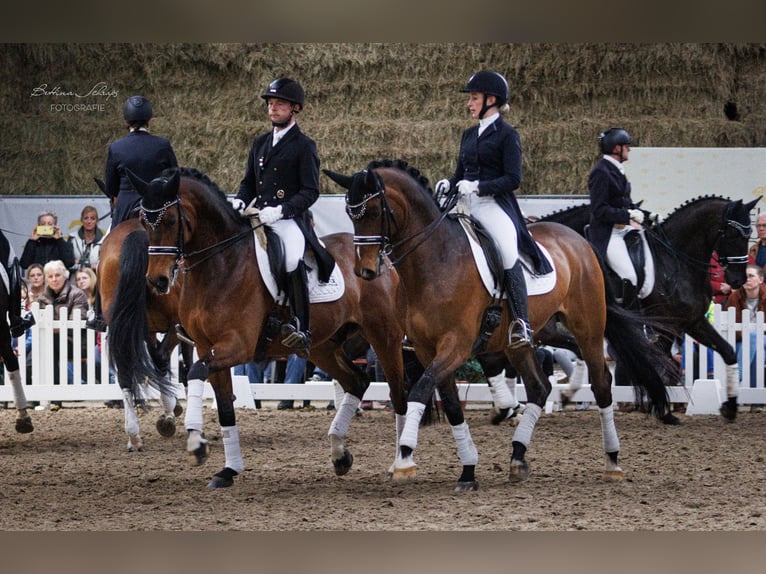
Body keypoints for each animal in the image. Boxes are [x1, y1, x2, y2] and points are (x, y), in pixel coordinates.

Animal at [96, 217, 194, 454]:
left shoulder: (146, 329)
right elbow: (184, 365)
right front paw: (173, 411)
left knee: (127, 370)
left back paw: (134, 435)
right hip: (174, 323)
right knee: (162, 357)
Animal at [109, 168, 408, 490]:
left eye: (171, 221)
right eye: (143, 221)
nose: (158, 280)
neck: (220, 264)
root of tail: (381, 258)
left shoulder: (239, 345)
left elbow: (194, 372)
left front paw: (196, 443)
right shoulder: (205, 345)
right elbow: (224, 407)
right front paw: (228, 470)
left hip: (384, 336)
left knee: (398, 393)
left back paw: (400, 463)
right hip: (324, 346)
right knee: (357, 381)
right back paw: (340, 454)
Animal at [324, 160, 680, 492]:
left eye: (372, 210)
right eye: (350, 214)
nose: (366, 272)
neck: (436, 261)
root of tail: (580, 241)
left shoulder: (457, 345)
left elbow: (422, 389)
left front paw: (405, 458)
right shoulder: (427, 348)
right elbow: (451, 404)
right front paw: (468, 470)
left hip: (588, 326)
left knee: (602, 381)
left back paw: (612, 460)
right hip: (533, 334)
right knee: (540, 385)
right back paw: (520, 455)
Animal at [544, 199, 760, 424]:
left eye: (748, 235)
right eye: (732, 234)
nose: (738, 280)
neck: (676, 260)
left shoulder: (692, 321)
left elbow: (728, 351)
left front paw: (730, 407)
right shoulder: (666, 325)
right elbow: (664, 367)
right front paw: (663, 410)